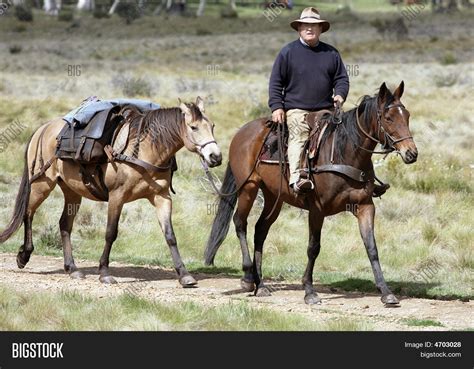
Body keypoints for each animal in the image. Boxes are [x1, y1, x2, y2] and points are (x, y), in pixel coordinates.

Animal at [0, 96, 222, 286]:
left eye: (212, 126)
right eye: (193, 127)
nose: (215, 157)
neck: (144, 150)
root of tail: (42, 129)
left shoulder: (162, 197)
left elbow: (170, 235)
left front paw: (184, 275)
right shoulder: (117, 197)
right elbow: (110, 233)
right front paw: (105, 273)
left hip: (72, 192)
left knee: (64, 225)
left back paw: (72, 269)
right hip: (41, 185)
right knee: (28, 213)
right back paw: (24, 256)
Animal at [205, 81, 418, 304]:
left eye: (407, 116)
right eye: (388, 118)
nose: (411, 153)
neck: (344, 153)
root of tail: (242, 132)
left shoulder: (365, 206)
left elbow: (371, 247)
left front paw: (386, 291)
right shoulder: (317, 210)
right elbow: (313, 248)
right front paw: (309, 290)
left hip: (274, 198)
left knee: (260, 230)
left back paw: (260, 284)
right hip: (249, 188)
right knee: (240, 222)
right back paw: (247, 277)